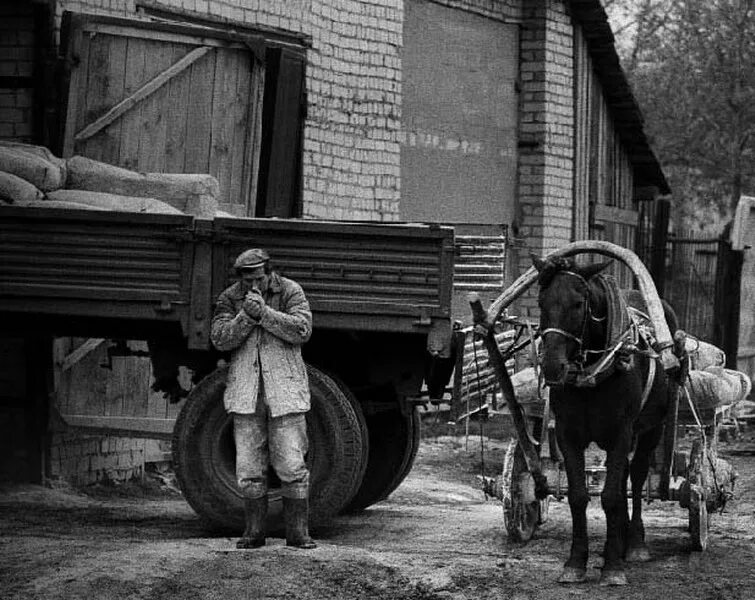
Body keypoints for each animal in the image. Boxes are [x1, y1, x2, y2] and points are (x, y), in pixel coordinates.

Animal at [536, 254, 684, 584]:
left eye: (578, 303)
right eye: (541, 302)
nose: (552, 366)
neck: (596, 371)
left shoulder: (621, 432)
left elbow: (612, 496)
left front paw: (614, 567)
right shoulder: (567, 434)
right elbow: (579, 496)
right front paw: (576, 562)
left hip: (651, 428)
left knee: (637, 477)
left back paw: (634, 543)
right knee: (625, 475)